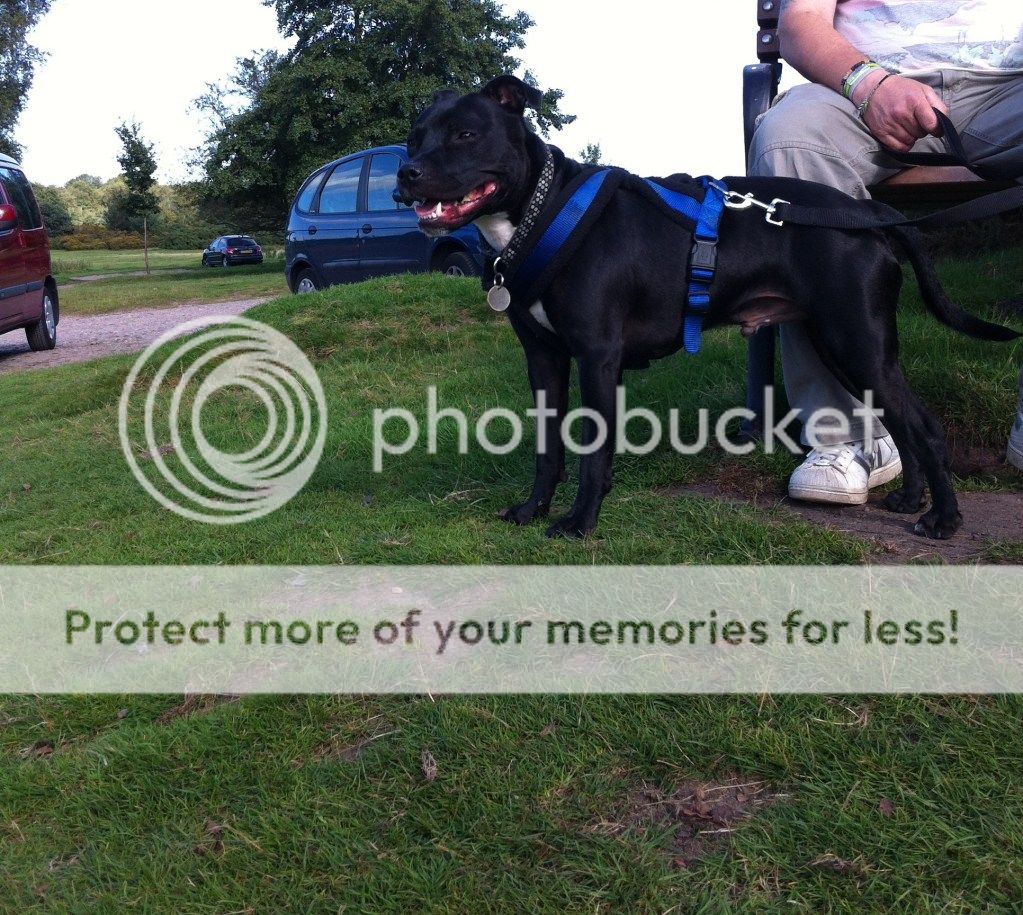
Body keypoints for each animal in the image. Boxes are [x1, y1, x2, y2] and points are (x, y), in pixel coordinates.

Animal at [396, 78, 1014, 540]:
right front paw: (532, 511)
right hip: (845, 346)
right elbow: (549, 449)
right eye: (414, 139)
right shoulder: (544, 360)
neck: (539, 209)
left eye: (466, 134)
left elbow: (592, 448)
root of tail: (871, 217)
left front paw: (579, 521)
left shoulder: (597, 357)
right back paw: (910, 501)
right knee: (901, 424)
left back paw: (943, 520)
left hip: (857, 341)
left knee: (925, 428)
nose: (406, 173)